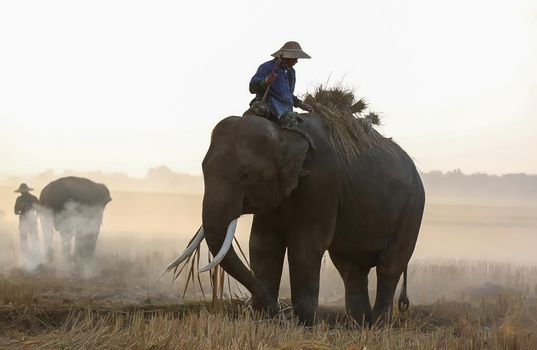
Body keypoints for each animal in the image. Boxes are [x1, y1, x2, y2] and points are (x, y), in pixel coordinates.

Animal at [168, 106, 422, 326]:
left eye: (245, 175)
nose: (280, 313)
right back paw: (359, 325)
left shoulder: (321, 181)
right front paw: (264, 322)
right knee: (351, 268)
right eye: (203, 169)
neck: (283, 133)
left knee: (389, 266)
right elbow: (262, 244)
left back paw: (378, 326)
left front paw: (304, 324)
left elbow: (305, 247)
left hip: (411, 209)